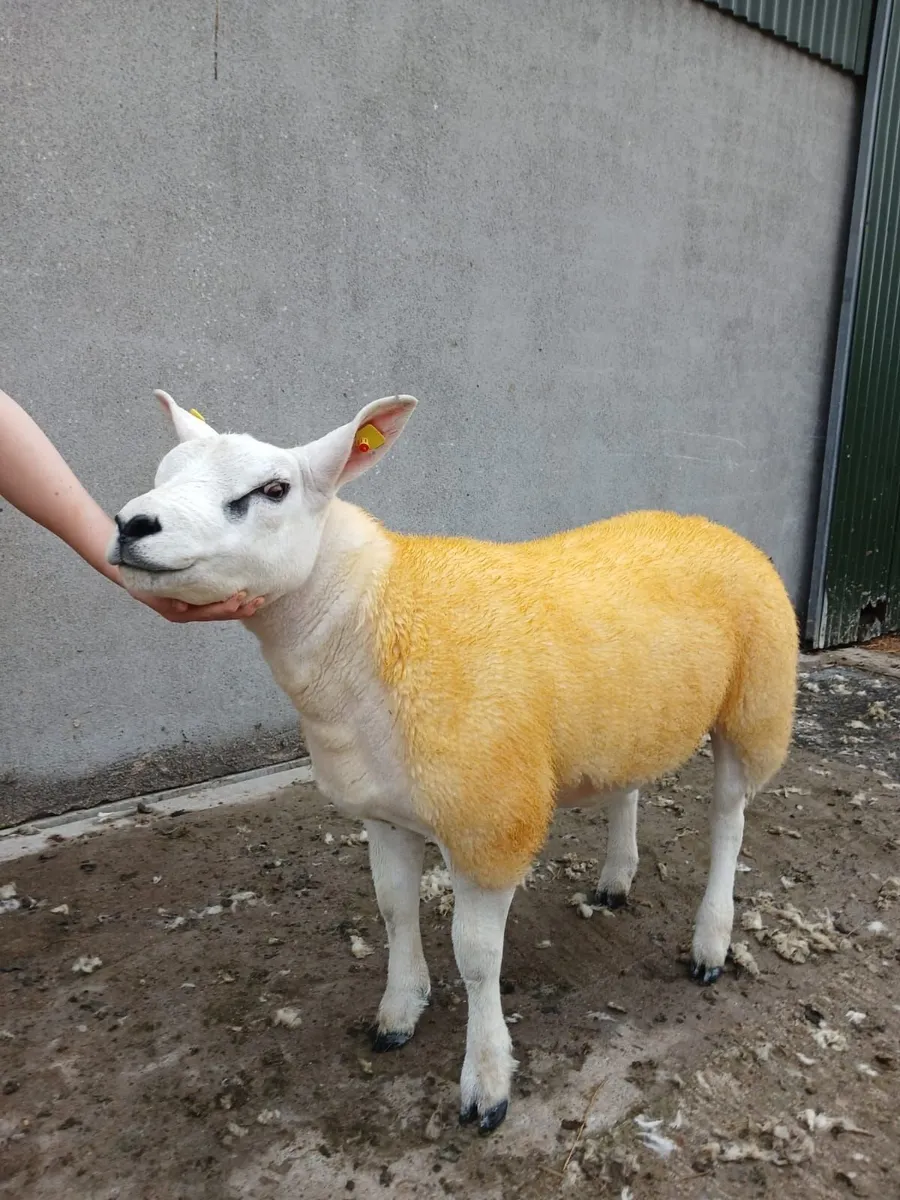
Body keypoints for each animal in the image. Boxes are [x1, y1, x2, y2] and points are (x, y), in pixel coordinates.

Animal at [110, 390, 798, 1133]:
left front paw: (487, 1080)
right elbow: (393, 909)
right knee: (628, 788)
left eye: (273, 489)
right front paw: (399, 1011)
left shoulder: (489, 822)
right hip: (630, 714)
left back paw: (710, 943)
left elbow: (476, 958)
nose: (131, 525)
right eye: (163, 472)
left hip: (756, 705)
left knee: (728, 822)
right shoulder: (382, 811)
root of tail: (704, 524)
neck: (367, 624)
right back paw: (616, 879)